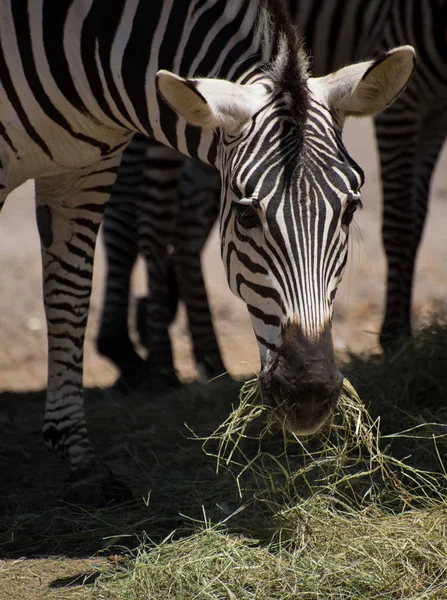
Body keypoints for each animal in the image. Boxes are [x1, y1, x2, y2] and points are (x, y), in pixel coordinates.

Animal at [99, 0, 447, 392]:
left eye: (351, 210)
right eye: (247, 215)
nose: (312, 387)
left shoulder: (437, 113)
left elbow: (416, 221)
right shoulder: (406, 93)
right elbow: (401, 222)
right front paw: (396, 338)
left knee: (182, 224)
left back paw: (200, 361)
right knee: (152, 216)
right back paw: (157, 365)